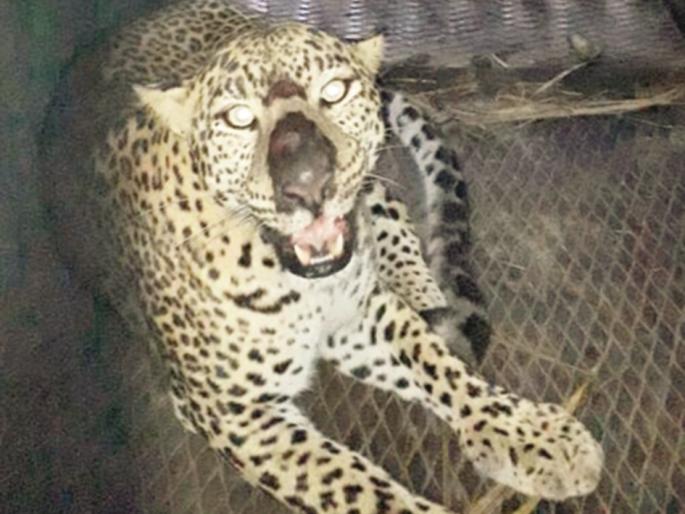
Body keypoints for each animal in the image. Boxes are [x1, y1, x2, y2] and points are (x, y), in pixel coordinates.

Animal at [41, 1, 604, 512]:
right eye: (238, 118)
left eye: (334, 91)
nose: (308, 183)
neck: (290, 280)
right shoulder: (232, 411)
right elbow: (349, 482)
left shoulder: (359, 312)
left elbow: (432, 359)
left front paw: (534, 436)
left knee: (389, 204)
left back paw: (425, 291)